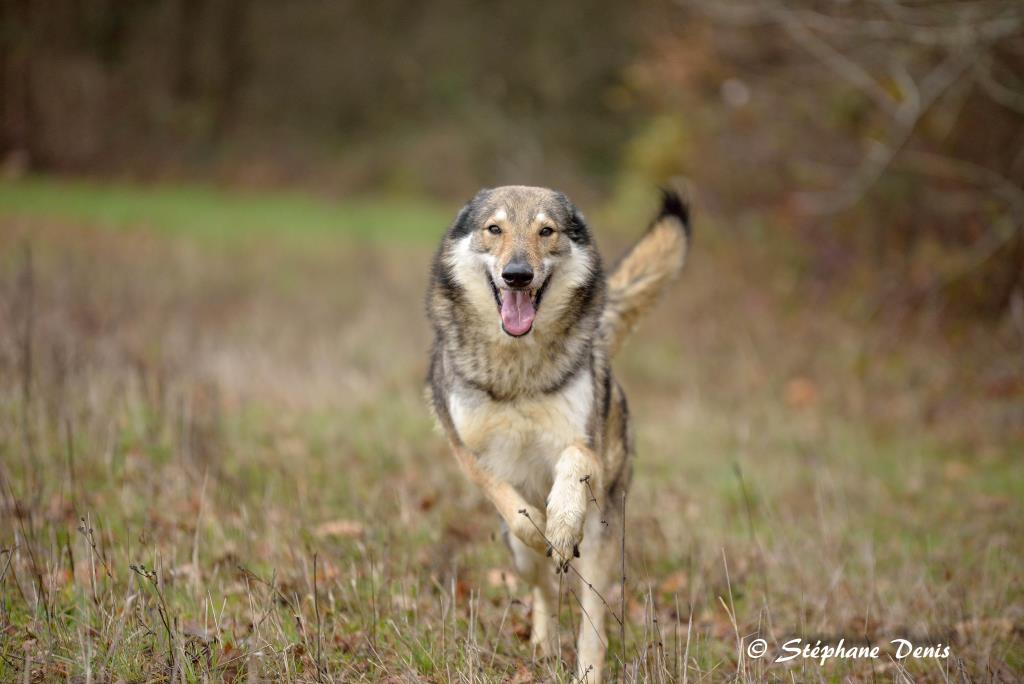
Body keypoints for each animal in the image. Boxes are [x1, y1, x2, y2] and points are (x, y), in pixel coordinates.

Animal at [423, 184, 688, 679]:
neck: (518, 368)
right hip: (520, 560)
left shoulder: (586, 447)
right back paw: (543, 645)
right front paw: (542, 526)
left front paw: (562, 523)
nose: (517, 275)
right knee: (542, 588)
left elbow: (572, 460)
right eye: (495, 229)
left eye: (545, 231)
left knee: (592, 623)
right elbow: (512, 506)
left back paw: (586, 672)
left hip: (602, 543)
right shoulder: (463, 448)